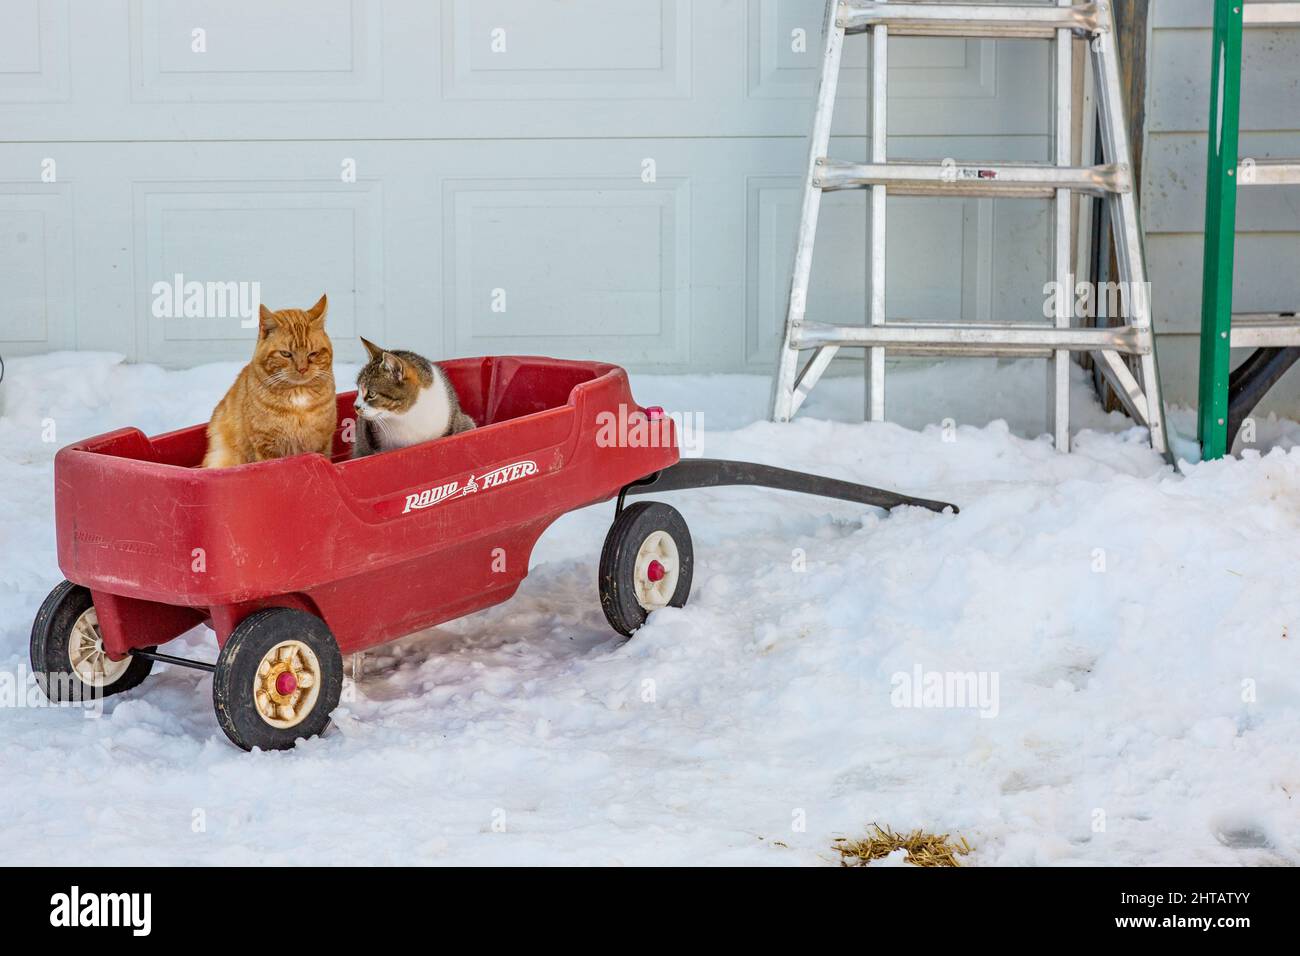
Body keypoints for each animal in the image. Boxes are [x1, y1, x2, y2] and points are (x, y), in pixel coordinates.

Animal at [200, 293, 335, 468]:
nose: (302, 369)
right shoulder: (267, 448)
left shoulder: (323, 443)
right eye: (285, 354)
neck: (298, 398)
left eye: (313, 354)